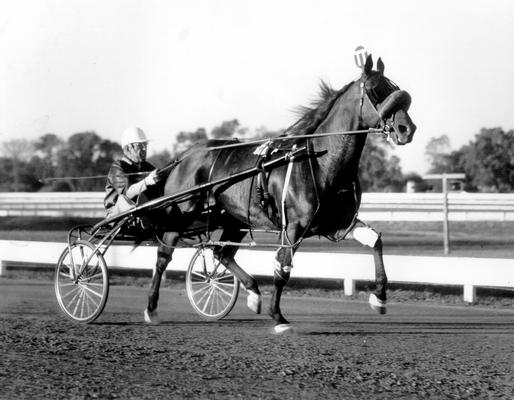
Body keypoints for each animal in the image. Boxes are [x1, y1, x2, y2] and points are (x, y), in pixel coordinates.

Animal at [142, 54, 414, 332]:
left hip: (234, 219)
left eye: (395, 89)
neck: (320, 162)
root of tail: (186, 155)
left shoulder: (338, 224)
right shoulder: (293, 226)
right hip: (181, 215)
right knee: (163, 256)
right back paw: (151, 309)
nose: (406, 128)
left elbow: (376, 241)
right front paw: (279, 317)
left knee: (222, 253)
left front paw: (379, 298)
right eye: (374, 90)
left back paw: (252, 293)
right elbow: (282, 268)